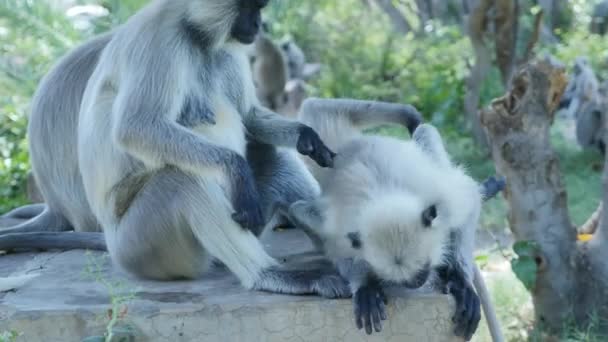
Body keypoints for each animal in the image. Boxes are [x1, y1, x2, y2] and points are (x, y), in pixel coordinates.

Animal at [1, 0, 356, 298]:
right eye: (249, 7)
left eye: (259, 7)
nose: (258, 24)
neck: (194, 33)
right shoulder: (160, 38)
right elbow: (137, 128)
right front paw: (236, 169)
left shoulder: (227, 48)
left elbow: (249, 117)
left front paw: (306, 136)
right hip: (142, 246)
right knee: (182, 180)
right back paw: (270, 276)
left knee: (272, 155)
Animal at [276, 97, 504, 340]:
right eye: (404, 279)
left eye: (423, 269)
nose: (417, 283)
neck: (383, 196)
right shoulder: (340, 225)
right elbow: (330, 239)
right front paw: (366, 284)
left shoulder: (444, 202)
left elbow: (469, 201)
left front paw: (461, 283)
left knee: (424, 132)